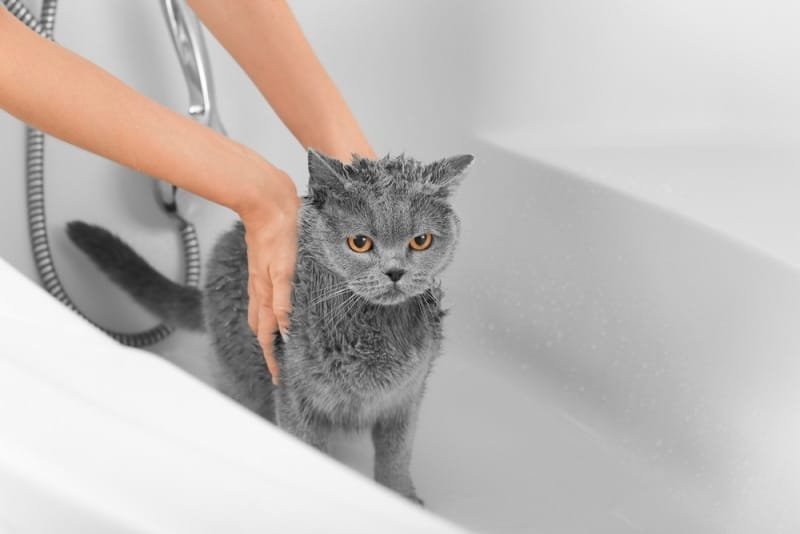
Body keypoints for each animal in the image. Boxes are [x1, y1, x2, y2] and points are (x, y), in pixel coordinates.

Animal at [67, 149, 476, 504]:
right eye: (360, 243)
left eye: (420, 241)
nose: (395, 272)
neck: (371, 329)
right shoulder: (295, 394)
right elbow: (310, 451)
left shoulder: (406, 398)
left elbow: (396, 456)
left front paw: (404, 500)